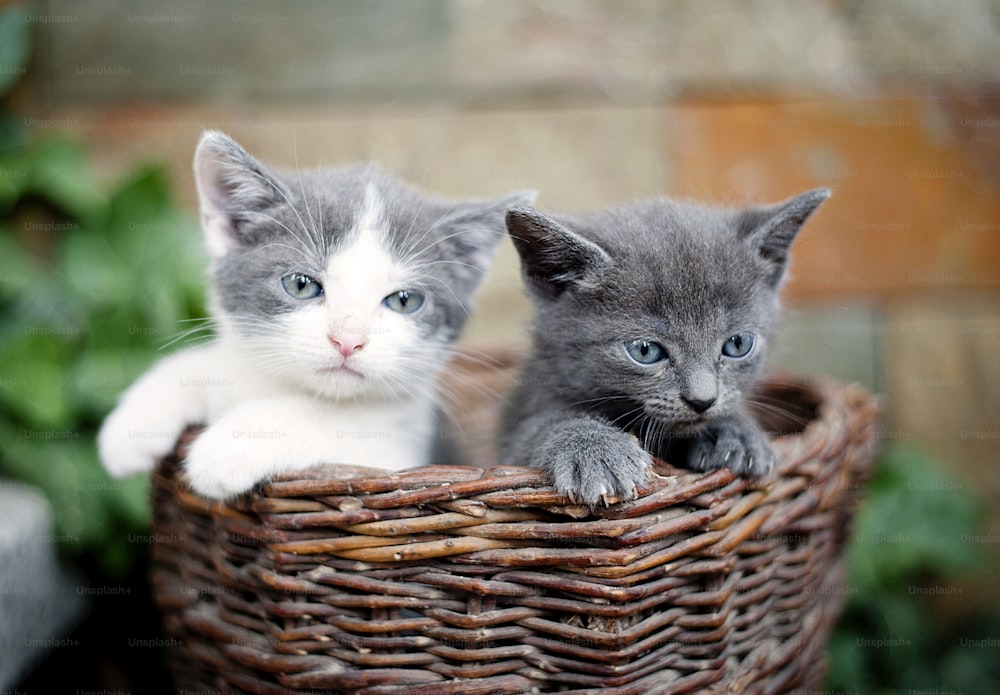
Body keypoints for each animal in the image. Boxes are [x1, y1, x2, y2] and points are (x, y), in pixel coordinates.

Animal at [98, 130, 532, 500]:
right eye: (301, 285)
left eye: (405, 300)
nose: (347, 340)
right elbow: (202, 364)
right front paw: (134, 424)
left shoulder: (402, 454)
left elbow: (337, 424)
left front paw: (228, 447)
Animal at [504, 190, 832, 506]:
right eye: (645, 351)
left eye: (737, 344)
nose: (702, 400)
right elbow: (538, 427)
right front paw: (595, 450)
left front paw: (737, 434)